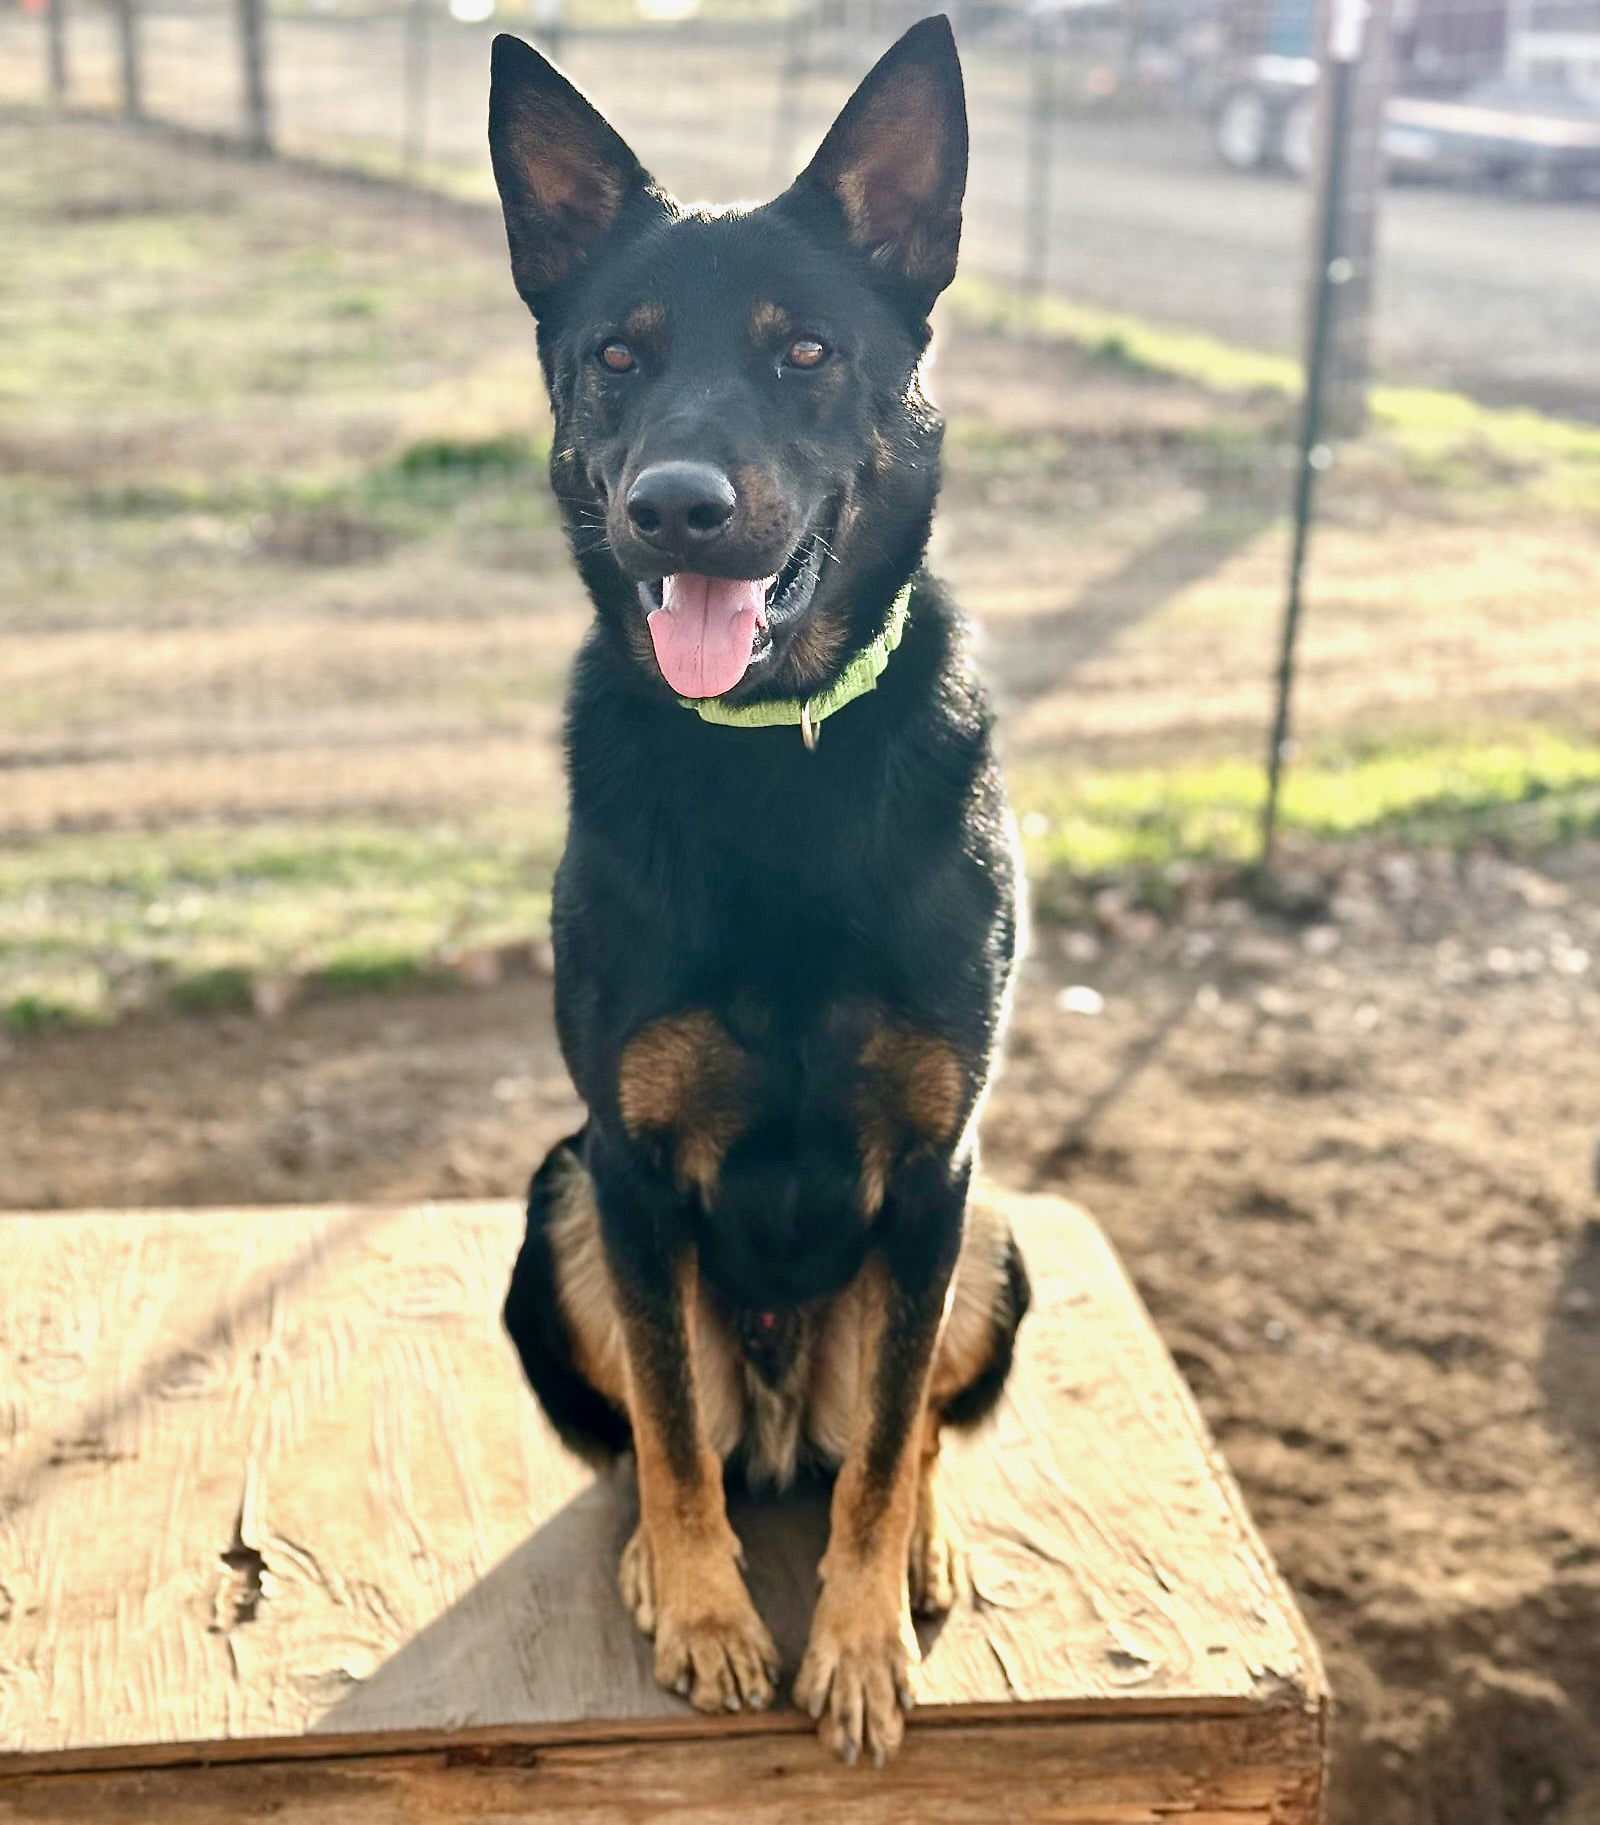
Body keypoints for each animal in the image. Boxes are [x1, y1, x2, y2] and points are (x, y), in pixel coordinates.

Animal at [492, 14, 1028, 1766]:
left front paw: (855, 1639)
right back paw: (666, 1562)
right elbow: (664, 1430)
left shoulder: (937, 1167)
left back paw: (919, 1537)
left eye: (803, 353)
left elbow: (887, 1450)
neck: (773, 760)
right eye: (615, 357)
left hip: (993, 1232)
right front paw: (714, 1612)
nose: (675, 506)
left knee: (888, 1431)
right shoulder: (631, 1165)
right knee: (667, 1447)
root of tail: (786, 1399)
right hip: (559, 1207)